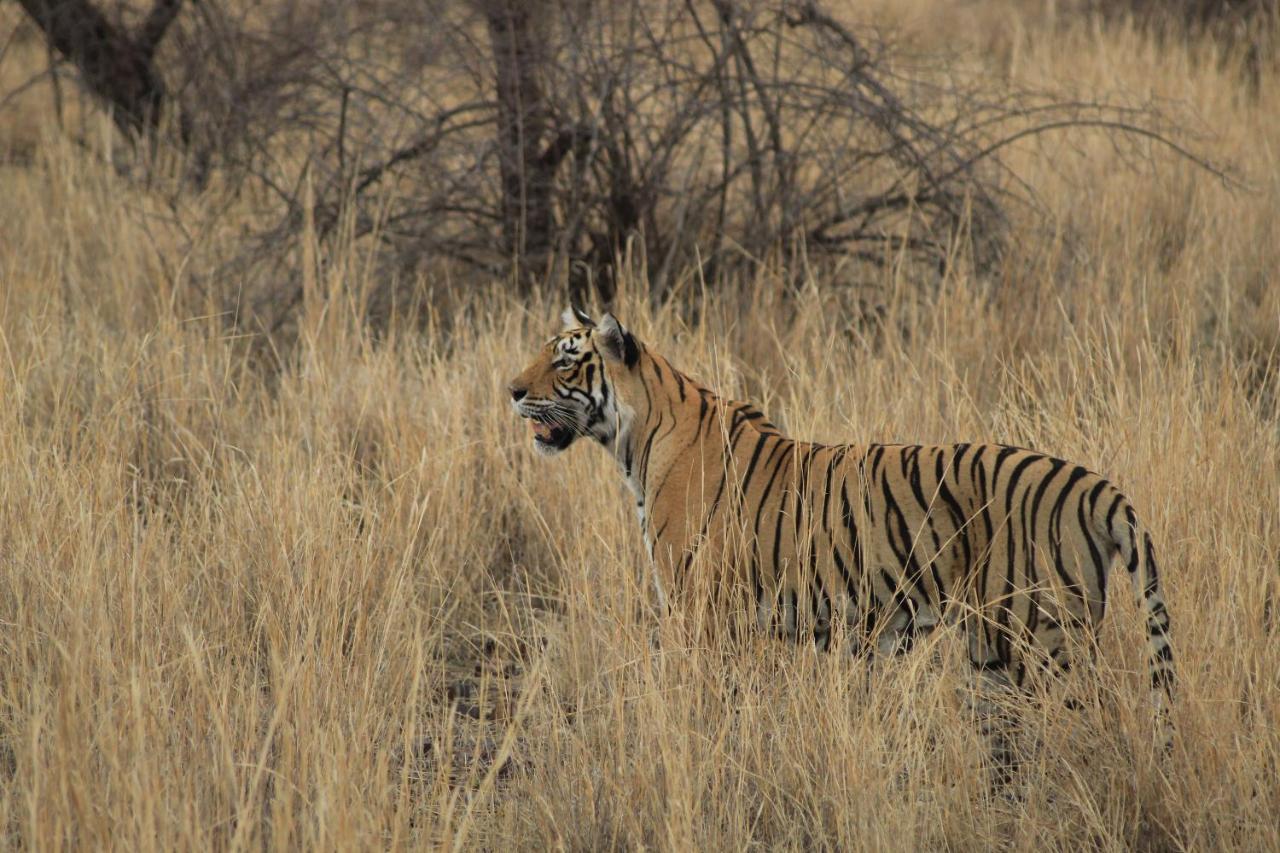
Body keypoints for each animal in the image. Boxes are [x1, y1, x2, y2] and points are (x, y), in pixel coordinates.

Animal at [504, 307, 1172, 753]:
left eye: (565, 358)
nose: (510, 390)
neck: (635, 439)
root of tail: (1095, 486)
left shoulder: (698, 612)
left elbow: (699, 704)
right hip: (994, 653)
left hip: (1044, 640)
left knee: (1085, 729)